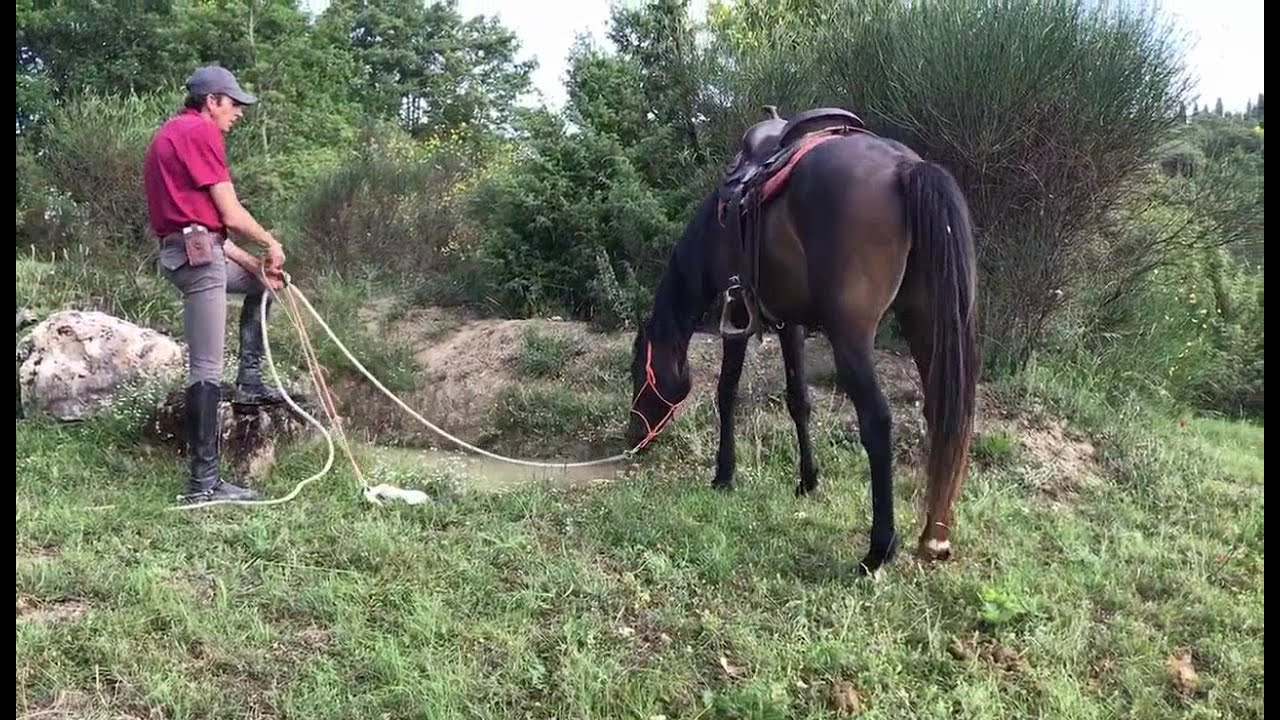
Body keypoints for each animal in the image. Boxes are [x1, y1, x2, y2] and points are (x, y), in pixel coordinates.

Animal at [624, 114, 979, 574]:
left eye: (638, 372)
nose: (632, 436)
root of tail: (905, 167)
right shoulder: (790, 323)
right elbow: (799, 401)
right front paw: (808, 481)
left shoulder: (735, 315)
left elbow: (726, 392)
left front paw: (724, 475)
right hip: (923, 321)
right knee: (941, 414)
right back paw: (933, 537)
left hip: (851, 336)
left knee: (878, 422)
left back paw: (879, 549)